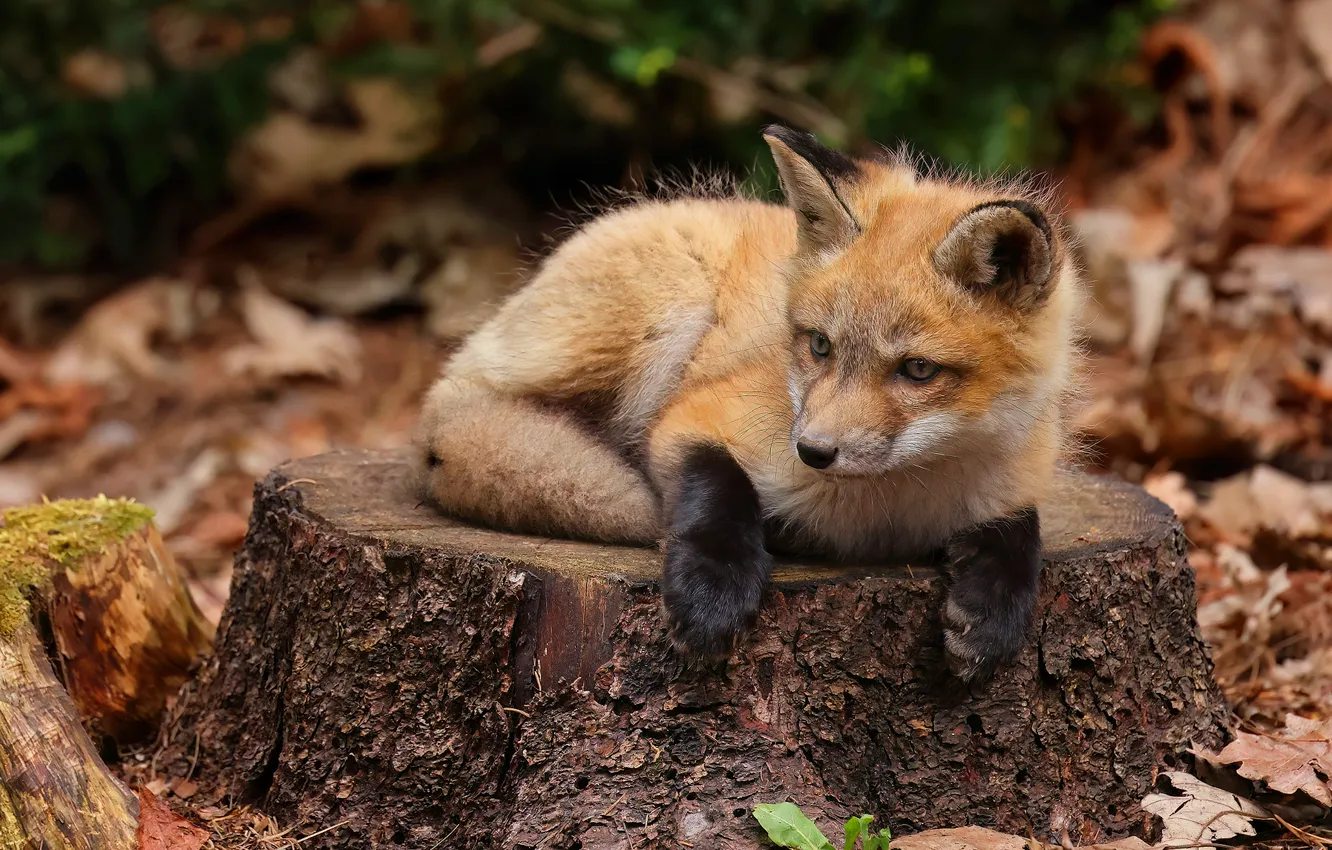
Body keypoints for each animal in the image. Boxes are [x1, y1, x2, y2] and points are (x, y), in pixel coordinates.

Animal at [415, 125, 1084, 681]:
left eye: (918, 370)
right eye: (819, 345)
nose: (813, 451)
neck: (884, 515)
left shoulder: (1011, 485)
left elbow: (1022, 537)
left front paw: (994, 615)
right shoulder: (692, 418)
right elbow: (717, 489)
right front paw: (714, 590)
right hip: (663, 308)